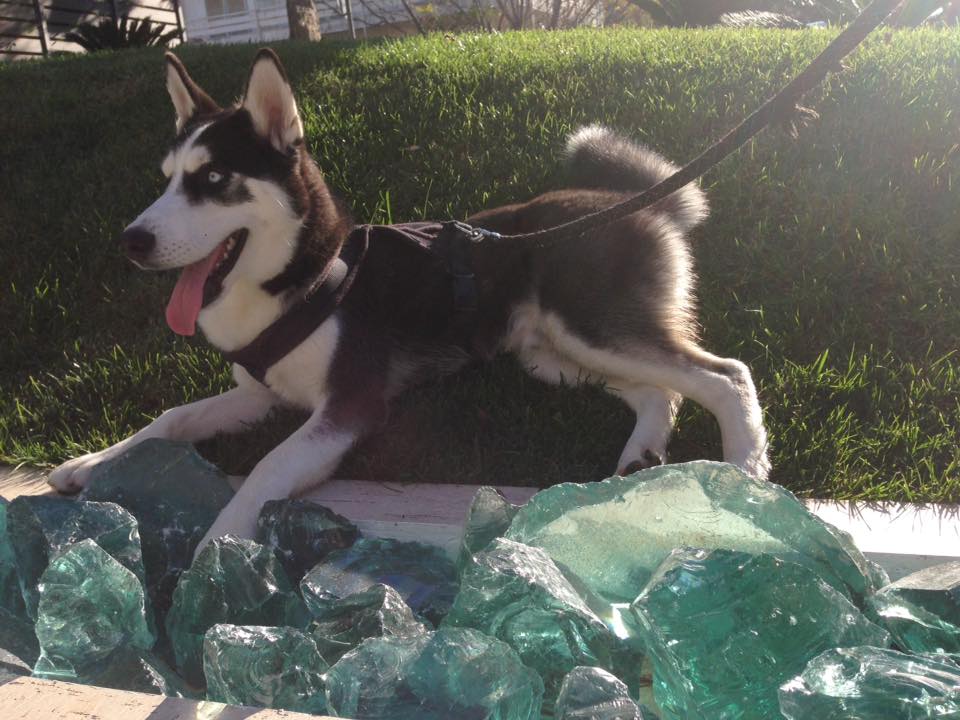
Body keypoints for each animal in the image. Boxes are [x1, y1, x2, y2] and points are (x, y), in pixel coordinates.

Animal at [48, 49, 770, 551]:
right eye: (168, 180)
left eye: (216, 179)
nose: (132, 240)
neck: (306, 280)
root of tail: (636, 202)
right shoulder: (258, 395)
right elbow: (169, 420)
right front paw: (90, 462)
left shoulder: (349, 409)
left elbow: (265, 466)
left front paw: (215, 545)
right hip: (551, 353)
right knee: (662, 390)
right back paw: (640, 458)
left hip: (589, 325)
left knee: (725, 376)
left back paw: (745, 474)